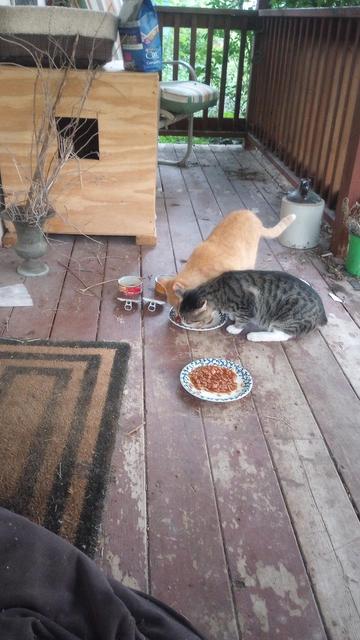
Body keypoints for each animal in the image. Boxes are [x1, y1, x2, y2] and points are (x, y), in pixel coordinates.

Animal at [179, 268, 328, 340]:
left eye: (189, 320)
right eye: (180, 317)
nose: (182, 322)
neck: (219, 291)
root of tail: (322, 314)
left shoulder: (247, 305)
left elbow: (242, 320)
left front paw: (235, 328)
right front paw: (231, 316)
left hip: (289, 318)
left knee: (282, 335)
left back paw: (255, 336)